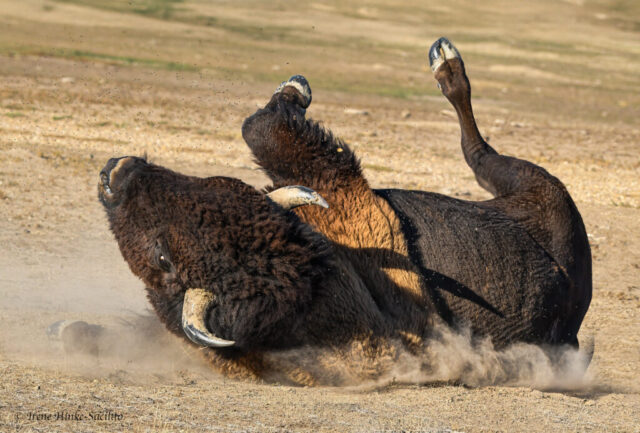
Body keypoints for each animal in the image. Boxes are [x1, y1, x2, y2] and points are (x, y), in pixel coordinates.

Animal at [98, 38, 591, 383]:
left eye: (223, 187)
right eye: (164, 256)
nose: (118, 172)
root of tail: (571, 318)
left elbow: (261, 129)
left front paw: (294, 89)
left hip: (538, 188)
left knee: (478, 150)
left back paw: (445, 58)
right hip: (537, 189)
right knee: (477, 151)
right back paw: (446, 60)